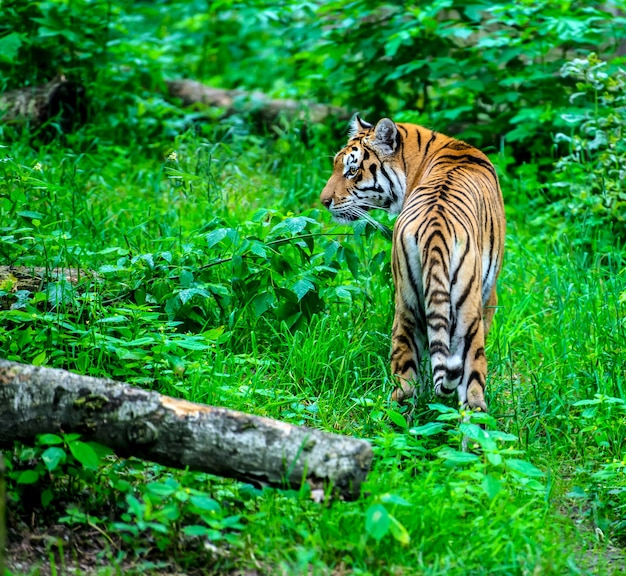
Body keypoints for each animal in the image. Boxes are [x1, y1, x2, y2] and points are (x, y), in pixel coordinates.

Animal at [320, 117, 504, 412]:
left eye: (352, 170)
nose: (324, 202)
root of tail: (436, 229)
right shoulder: (490, 294)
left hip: (406, 303)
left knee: (405, 388)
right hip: (468, 314)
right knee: (473, 394)